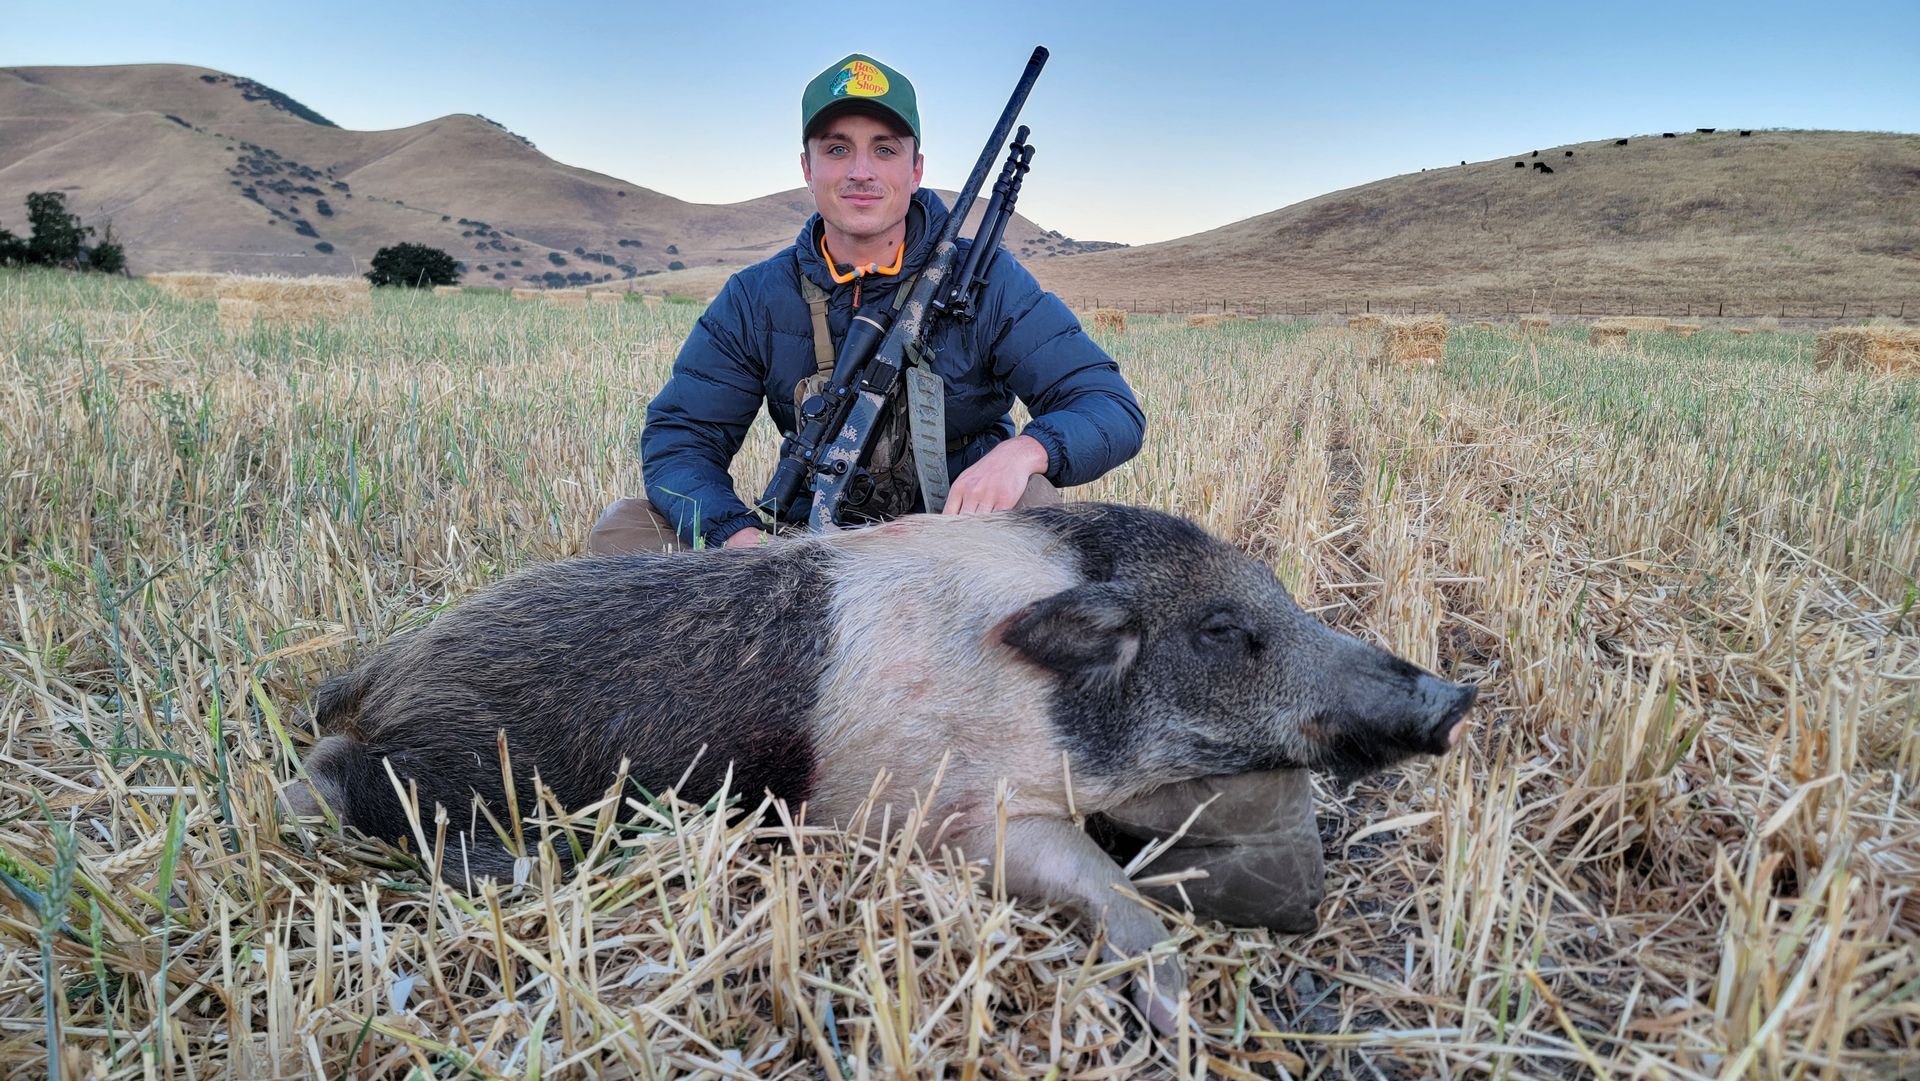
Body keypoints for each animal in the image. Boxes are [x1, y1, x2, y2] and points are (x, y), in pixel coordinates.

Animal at [294, 501, 1476, 1033]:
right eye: (1228, 630)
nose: (1454, 697)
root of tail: (377, 673)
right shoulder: (954, 816)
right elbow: (1111, 895)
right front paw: (1184, 1019)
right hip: (445, 772)